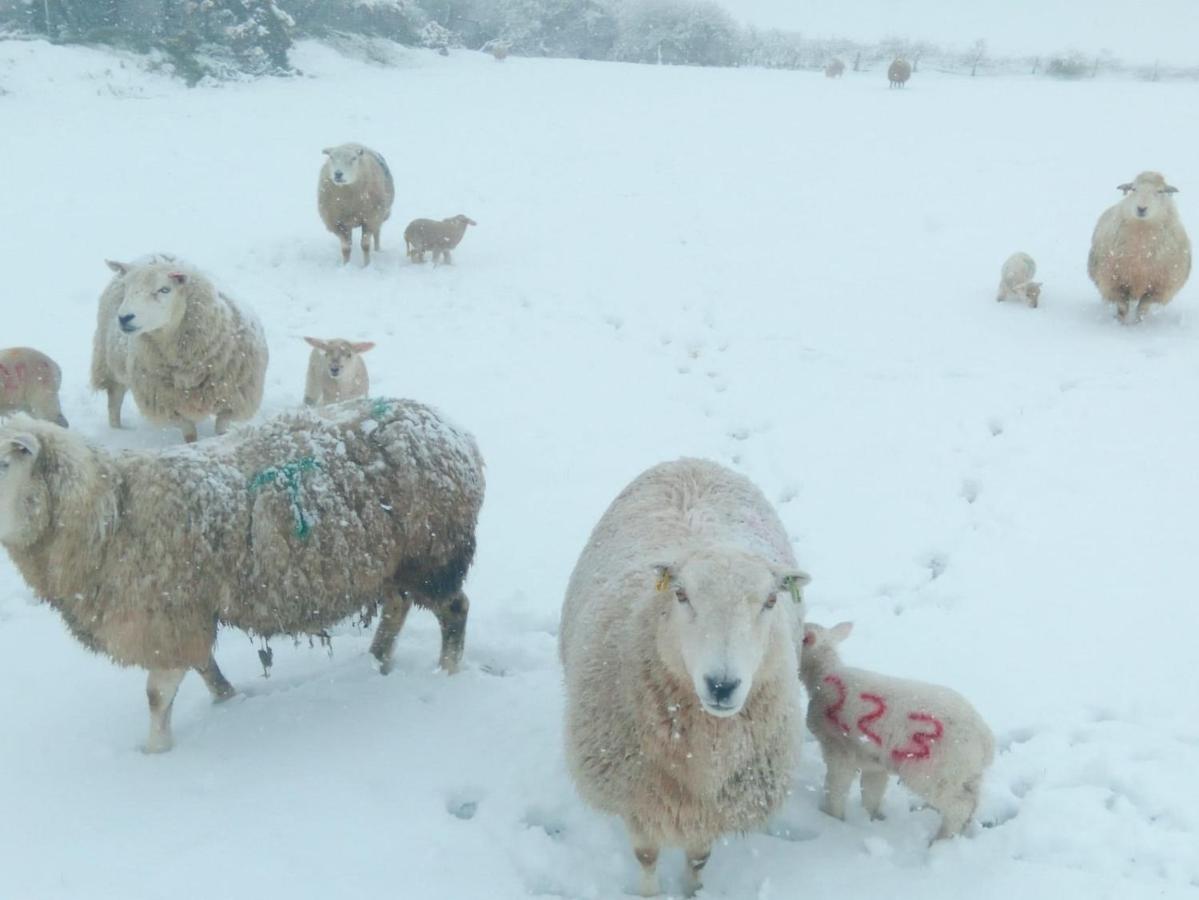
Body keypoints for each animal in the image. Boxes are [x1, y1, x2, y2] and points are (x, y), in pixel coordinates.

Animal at [0, 400, 486, 752]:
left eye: (5, 464)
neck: (110, 509)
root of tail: (455, 433)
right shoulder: (185, 616)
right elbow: (203, 665)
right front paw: (226, 698)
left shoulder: (166, 616)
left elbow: (157, 694)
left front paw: (156, 751)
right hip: (396, 561)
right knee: (398, 604)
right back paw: (378, 658)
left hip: (432, 553)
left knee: (454, 609)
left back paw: (446, 671)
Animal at [89, 256, 268, 443]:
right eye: (127, 288)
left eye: (164, 289)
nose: (124, 318)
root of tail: (153, 255)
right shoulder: (165, 404)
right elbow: (189, 432)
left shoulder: (236, 398)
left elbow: (222, 426)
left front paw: (222, 438)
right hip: (108, 363)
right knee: (114, 399)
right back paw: (117, 430)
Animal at [563, 460, 815, 896]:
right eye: (681, 595)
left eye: (770, 600)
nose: (722, 684)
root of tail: (692, 461)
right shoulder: (636, 795)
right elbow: (646, 856)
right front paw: (649, 894)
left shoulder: (713, 807)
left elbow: (699, 858)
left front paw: (692, 890)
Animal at [800, 623, 997, 843]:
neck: (822, 674)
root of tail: (985, 739)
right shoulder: (873, 761)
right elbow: (872, 792)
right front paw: (870, 819)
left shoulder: (838, 751)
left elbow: (835, 789)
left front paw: (831, 819)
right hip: (964, 773)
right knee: (972, 801)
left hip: (934, 772)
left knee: (959, 807)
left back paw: (940, 841)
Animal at [1088, 170, 1189, 323]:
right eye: (1134, 189)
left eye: (1160, 191)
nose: (1141, 208)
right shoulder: (1115, 282)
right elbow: (1122, 308)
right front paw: (1120, 323)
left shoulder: (1157, 288)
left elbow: (1143, 308)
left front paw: (1138, 323)